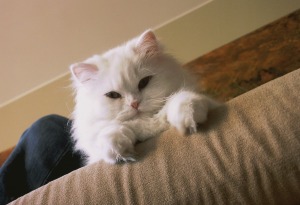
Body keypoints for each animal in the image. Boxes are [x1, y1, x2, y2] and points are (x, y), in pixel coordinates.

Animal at [70, 29, 220, 165]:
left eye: (143, 82)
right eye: (113, 95)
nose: (134, 103)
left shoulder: (207, 101)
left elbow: (183, 99)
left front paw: (187, 124)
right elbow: (109, 132)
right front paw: (120, 152)